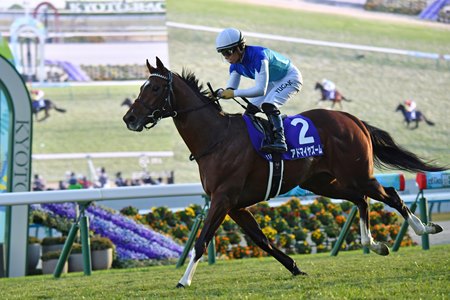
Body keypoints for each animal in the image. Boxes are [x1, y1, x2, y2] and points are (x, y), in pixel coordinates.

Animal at [123, 56, 446, 288]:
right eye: (141, 87)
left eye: (154, 88)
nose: (130, 118)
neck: (217, 138)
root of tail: (351, 118)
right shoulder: (236, 205)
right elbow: (261, 241)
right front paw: (295, 267)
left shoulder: (223, 199)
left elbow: (202, 240)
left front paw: (183, 280)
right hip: (323, 182)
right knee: (362, 200)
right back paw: (374, 244)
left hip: (357, 174)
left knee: (390, 194)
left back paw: (424, 228)